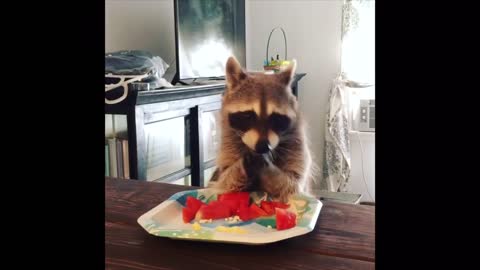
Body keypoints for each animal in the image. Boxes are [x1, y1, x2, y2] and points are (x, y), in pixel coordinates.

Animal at [208, 56, 314, 202]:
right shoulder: (228, 142)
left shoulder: (296, 143)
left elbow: (292, 185)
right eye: (248, 115)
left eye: (276, 118)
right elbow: (226, 180)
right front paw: (240, 166)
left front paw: (267, 167)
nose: (263, 146)